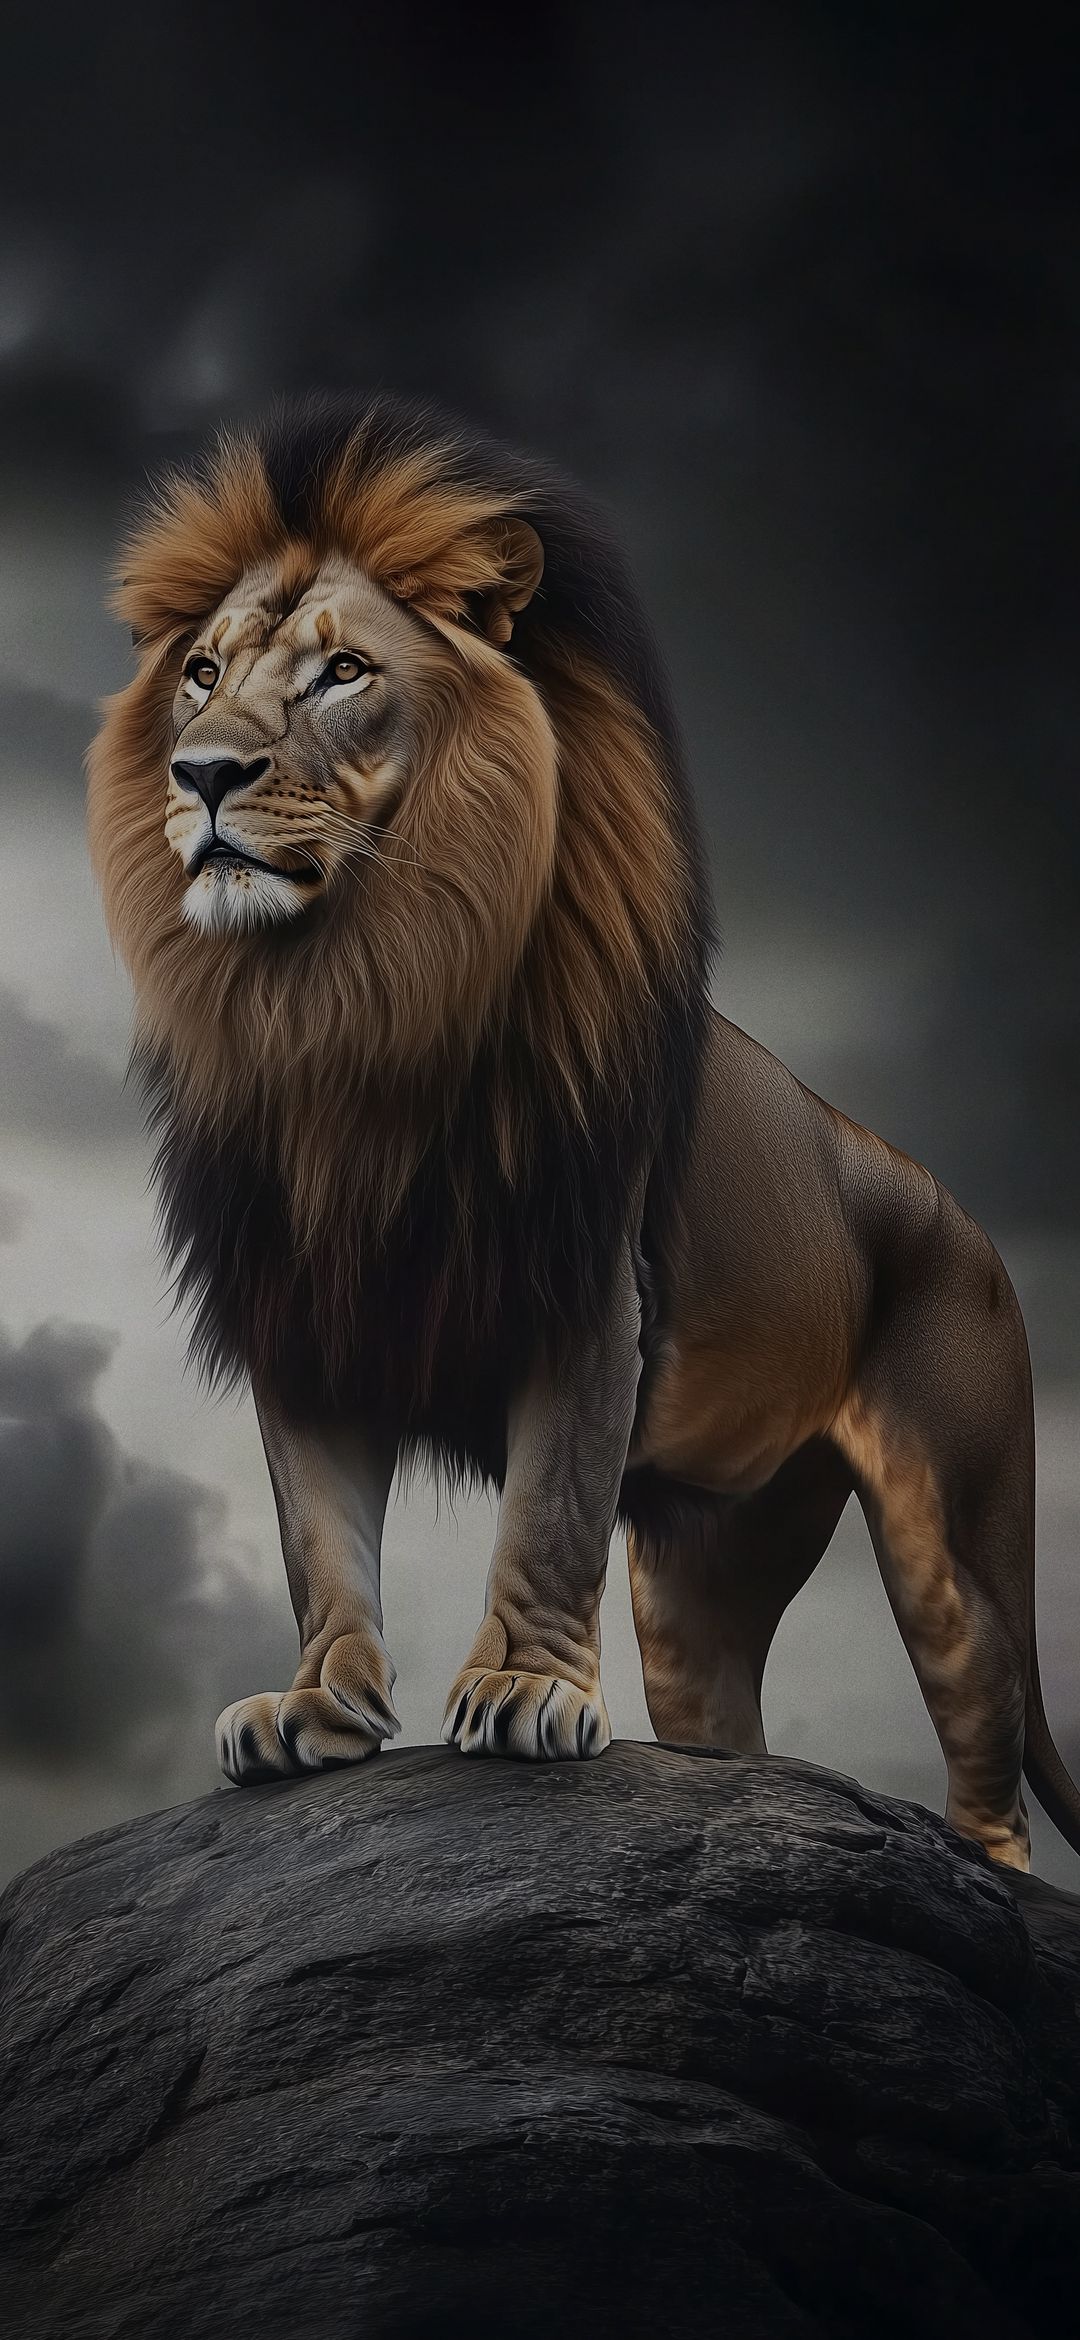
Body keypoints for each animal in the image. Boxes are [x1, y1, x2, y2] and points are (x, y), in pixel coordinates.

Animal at [87, 391, 1080, 1874]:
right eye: (201, 672)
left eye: (343, 673)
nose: (201, 771)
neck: (340, 1001)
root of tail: (957, 1216)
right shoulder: (306, 1310)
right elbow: (319, 1535)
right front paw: (318, 1707)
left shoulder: (581, 1291)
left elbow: (547, 1512)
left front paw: (524, 1690)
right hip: (711, 1553)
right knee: (728, 1720)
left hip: (950, 1530)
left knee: (986, 1722)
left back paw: (980, 1875)